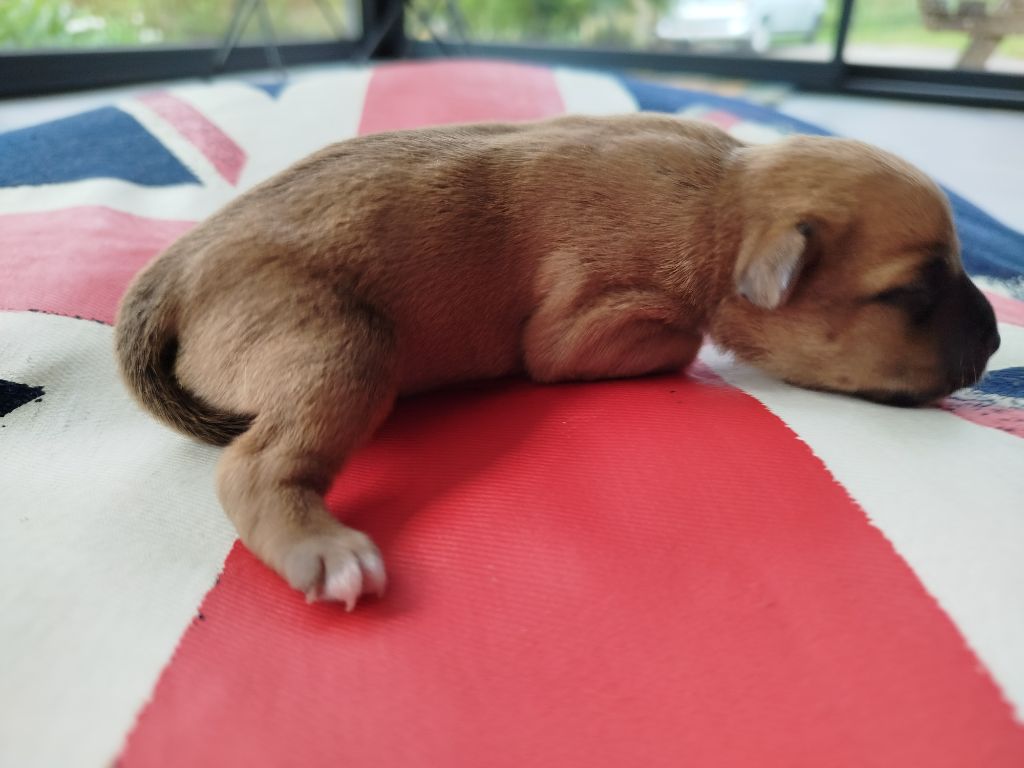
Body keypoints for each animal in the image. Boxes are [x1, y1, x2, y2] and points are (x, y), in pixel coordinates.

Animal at [115, 113, 1000, 609]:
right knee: (254, 466)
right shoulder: (580, 324)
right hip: (339, 343)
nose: (997, 343)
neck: (725, 200)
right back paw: (324, 551)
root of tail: (172, 274)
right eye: (914, 291)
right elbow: (674, 339)